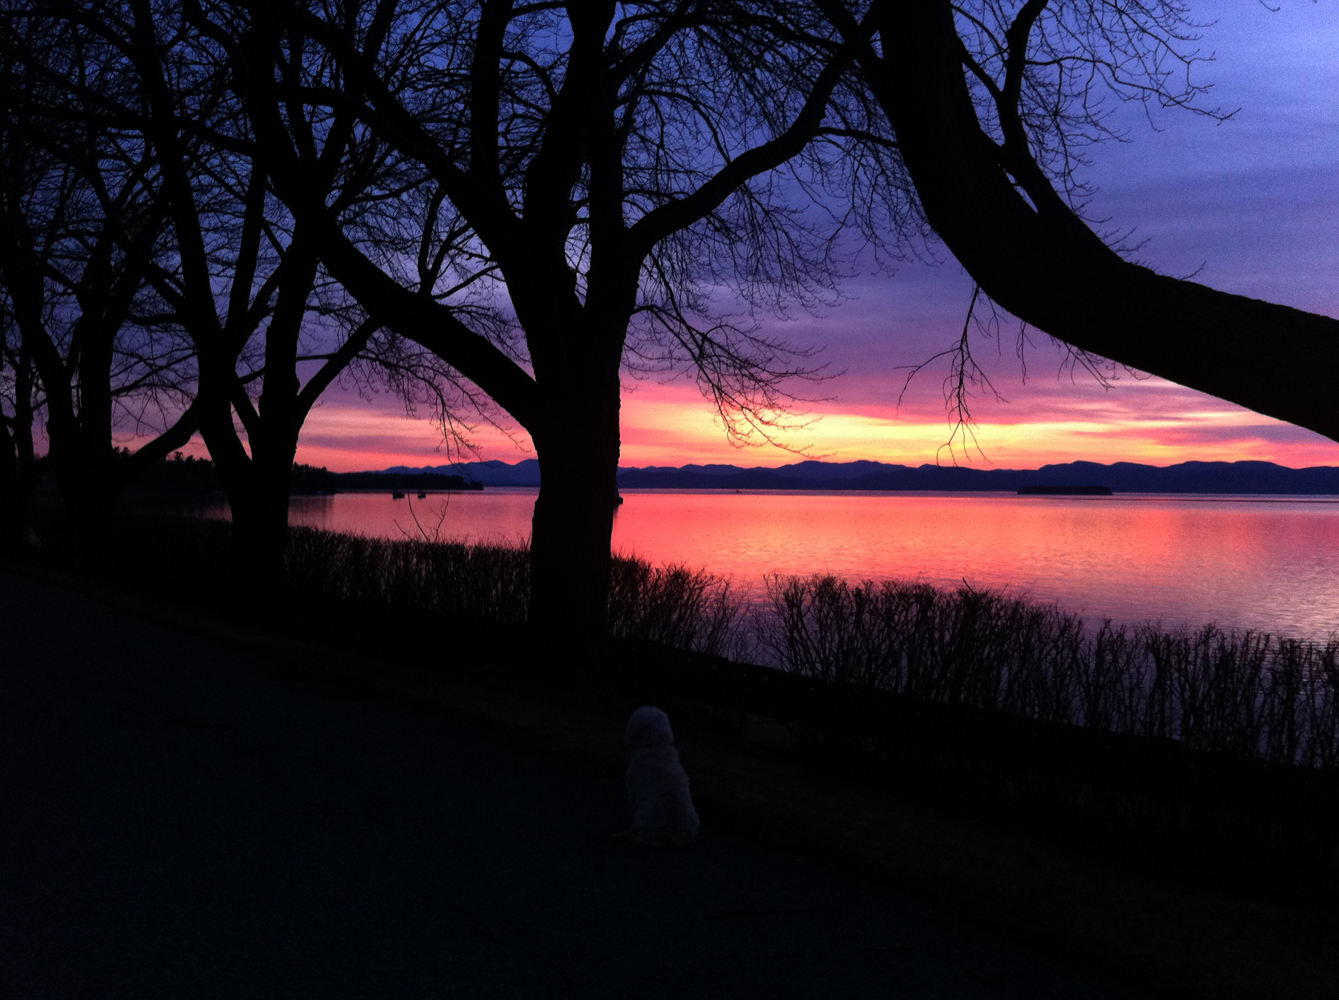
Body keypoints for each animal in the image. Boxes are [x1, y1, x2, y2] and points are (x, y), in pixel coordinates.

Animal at [618, 706, 701, 851]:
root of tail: (676, 832)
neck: (656, 745)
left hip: (644, 818)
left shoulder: (633, 787)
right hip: (694, 817)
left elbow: (633, 801)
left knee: (641, 836)